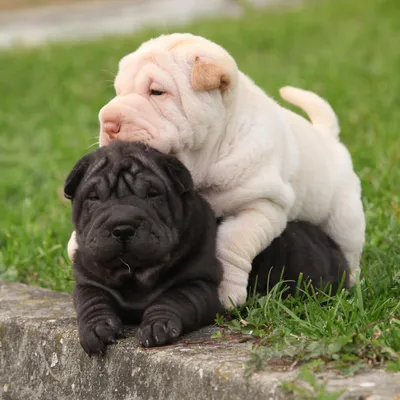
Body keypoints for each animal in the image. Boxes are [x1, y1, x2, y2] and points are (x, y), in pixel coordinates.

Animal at [64, 142, 348, 354]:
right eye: (93, 198)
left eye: (153, 194)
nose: (123, 226)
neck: (135, 274)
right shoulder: (89, 281)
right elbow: (92, 302)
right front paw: (97, 328)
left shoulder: (201, 286)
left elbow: (173, 299)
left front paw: (158, 325)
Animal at [68, 33, 366, 310]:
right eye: (118, 91)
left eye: (157, 92)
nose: (107, 121)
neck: (209, 156)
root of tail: (328, 136)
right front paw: (75, 244)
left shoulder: (262, 206)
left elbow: (232, 243)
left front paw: (226, 293)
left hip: (345, 217)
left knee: (350, 250)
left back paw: (352, 284)